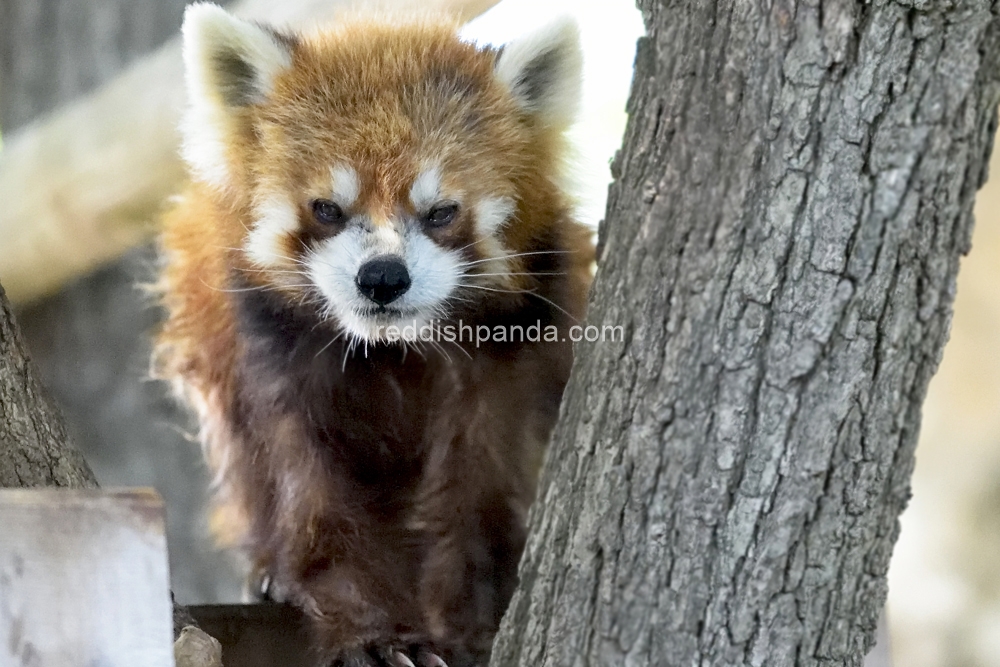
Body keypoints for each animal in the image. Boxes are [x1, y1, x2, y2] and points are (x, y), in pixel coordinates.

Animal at [155, 2, 592, 664]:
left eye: (441, 212)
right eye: (327, 209)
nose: (382, 277)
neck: (389, 346)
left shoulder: (512, 344)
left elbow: (482, 480)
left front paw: (471, 616)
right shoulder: (271, 345)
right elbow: (308, 491)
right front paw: (371, 631)